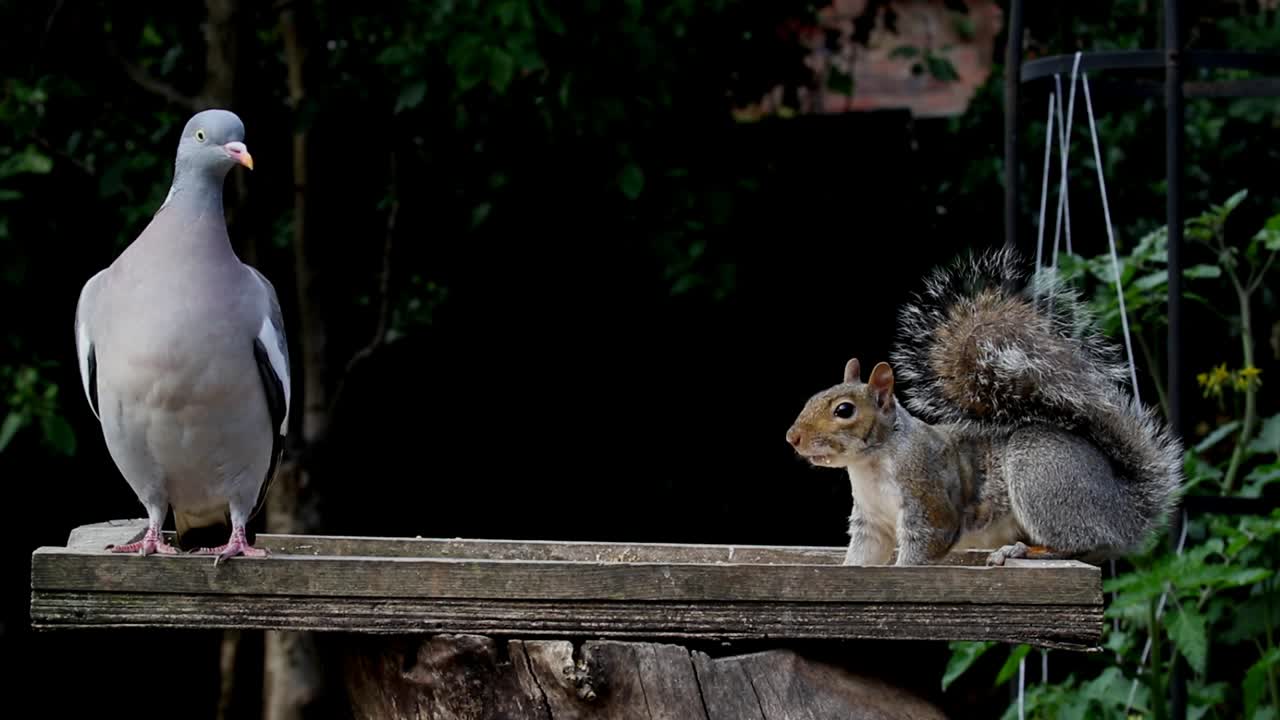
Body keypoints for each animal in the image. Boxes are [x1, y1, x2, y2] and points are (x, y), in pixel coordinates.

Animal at [785, 247, 1184, 567]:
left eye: (844, 411)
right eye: (813, 397)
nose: (793, 437)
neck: (871, 463)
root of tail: (1126, 510)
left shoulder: (928, 505)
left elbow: (921, 550)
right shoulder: (871, 525)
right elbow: (862, 559)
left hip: (1041, 474)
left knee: (1082, 542)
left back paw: (1023, 550)